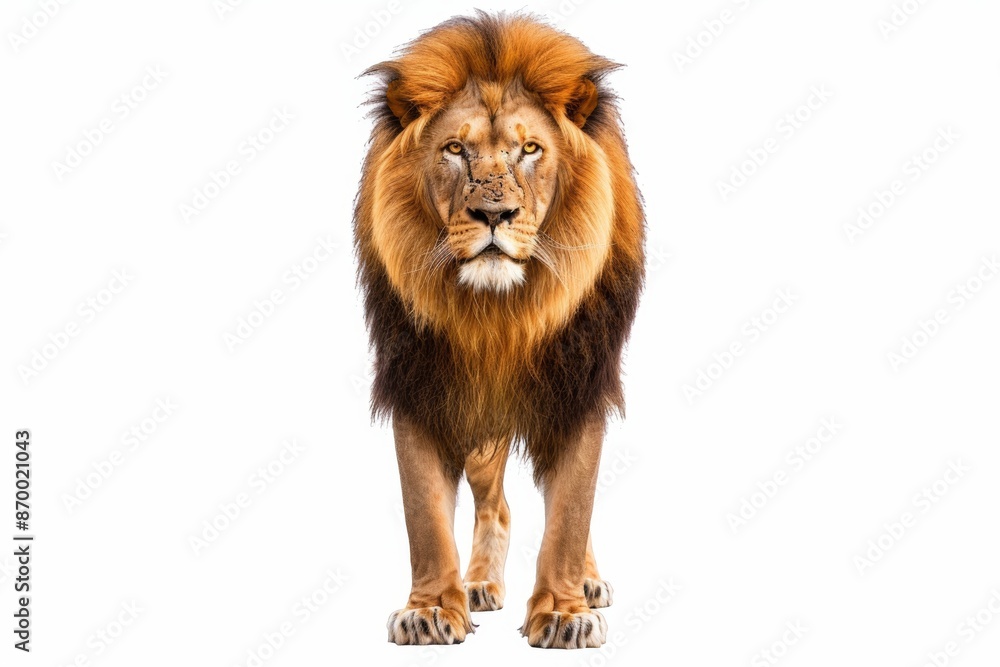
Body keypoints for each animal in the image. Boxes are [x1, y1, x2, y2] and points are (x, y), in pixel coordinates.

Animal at [353, 12, 645, 649]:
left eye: (530, 148)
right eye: (454, 148)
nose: (494, 215)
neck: (499, 317)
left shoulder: (579, 385)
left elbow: (571, 512)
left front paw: (563, 613)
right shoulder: (421, 382)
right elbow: (424, 515)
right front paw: (430, 609)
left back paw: (587, 583)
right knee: (498, 504)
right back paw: (479, 584)